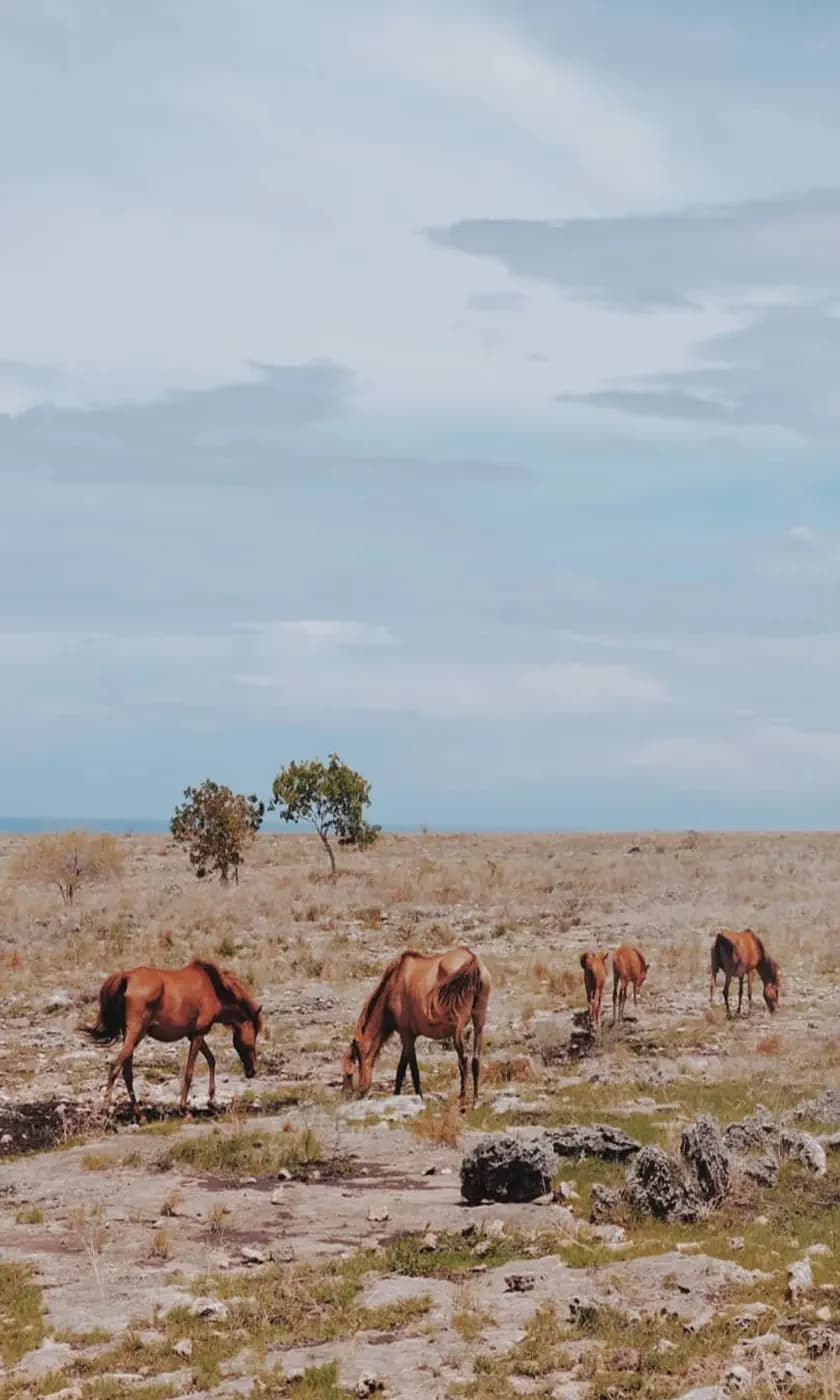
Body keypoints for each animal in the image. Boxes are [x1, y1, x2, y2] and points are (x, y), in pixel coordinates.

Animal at [82, 959, 264, 1117]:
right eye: (253, 1036)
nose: (252, 1070)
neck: (213, 989)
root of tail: (127, 976)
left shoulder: (193, 1035)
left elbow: (211, 1060)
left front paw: (212, 1100)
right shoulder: (198, 1034)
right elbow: (189, 1071)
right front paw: (184, 1108)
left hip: (131, 1037)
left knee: (127, 1073)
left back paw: (140, 1115)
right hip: (136, 1034)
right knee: (115, 1067)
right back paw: (106, 1109)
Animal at [341, 946, 491, 1109]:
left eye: (349, 1074)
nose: (355, 1094)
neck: (393, 984)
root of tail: (472, 959)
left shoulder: (406, 1035)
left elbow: (408, 1069)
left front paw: (414, 1096)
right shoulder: (410, 1036)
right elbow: (405, 1068)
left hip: (457, 1026)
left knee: (463, 1060)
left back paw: (462, 1100)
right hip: (479, 1020)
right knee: (475, 1060)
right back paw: (475, 1100)